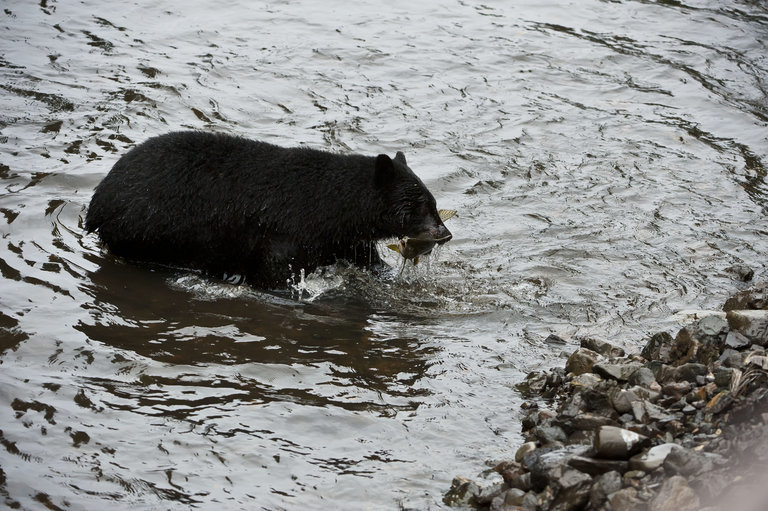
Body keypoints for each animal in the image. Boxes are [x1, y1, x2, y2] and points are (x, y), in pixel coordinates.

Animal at [85, 132, 450, 288]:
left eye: (433, 203)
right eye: (417, 205)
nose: (444, 233)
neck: (334, 206)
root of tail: (96, 203)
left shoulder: (340, 238)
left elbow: (365, 259)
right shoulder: (286, 230)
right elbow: (276, 269)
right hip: (148, 229)